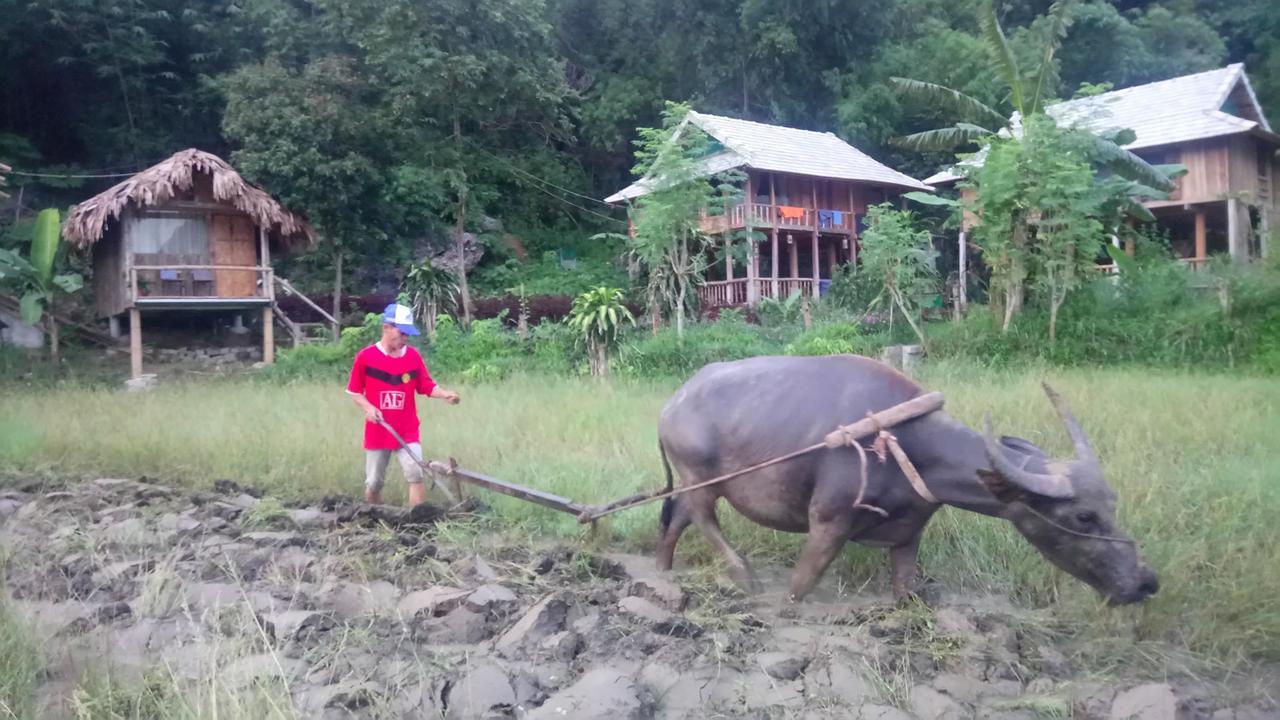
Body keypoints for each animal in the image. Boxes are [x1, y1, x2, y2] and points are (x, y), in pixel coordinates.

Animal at [660, 353, 1162, 604]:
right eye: (1082, 516)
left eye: (1112, 504)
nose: (1145, 583)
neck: (911, 447)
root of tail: (672, 403)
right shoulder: (828, 524)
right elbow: (799, 588)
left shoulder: (908, 535)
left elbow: (906, 592)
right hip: (700, 477)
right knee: (703, 518)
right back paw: (742, 575)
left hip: (690, 482)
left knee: (675, 518)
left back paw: (663, 570)